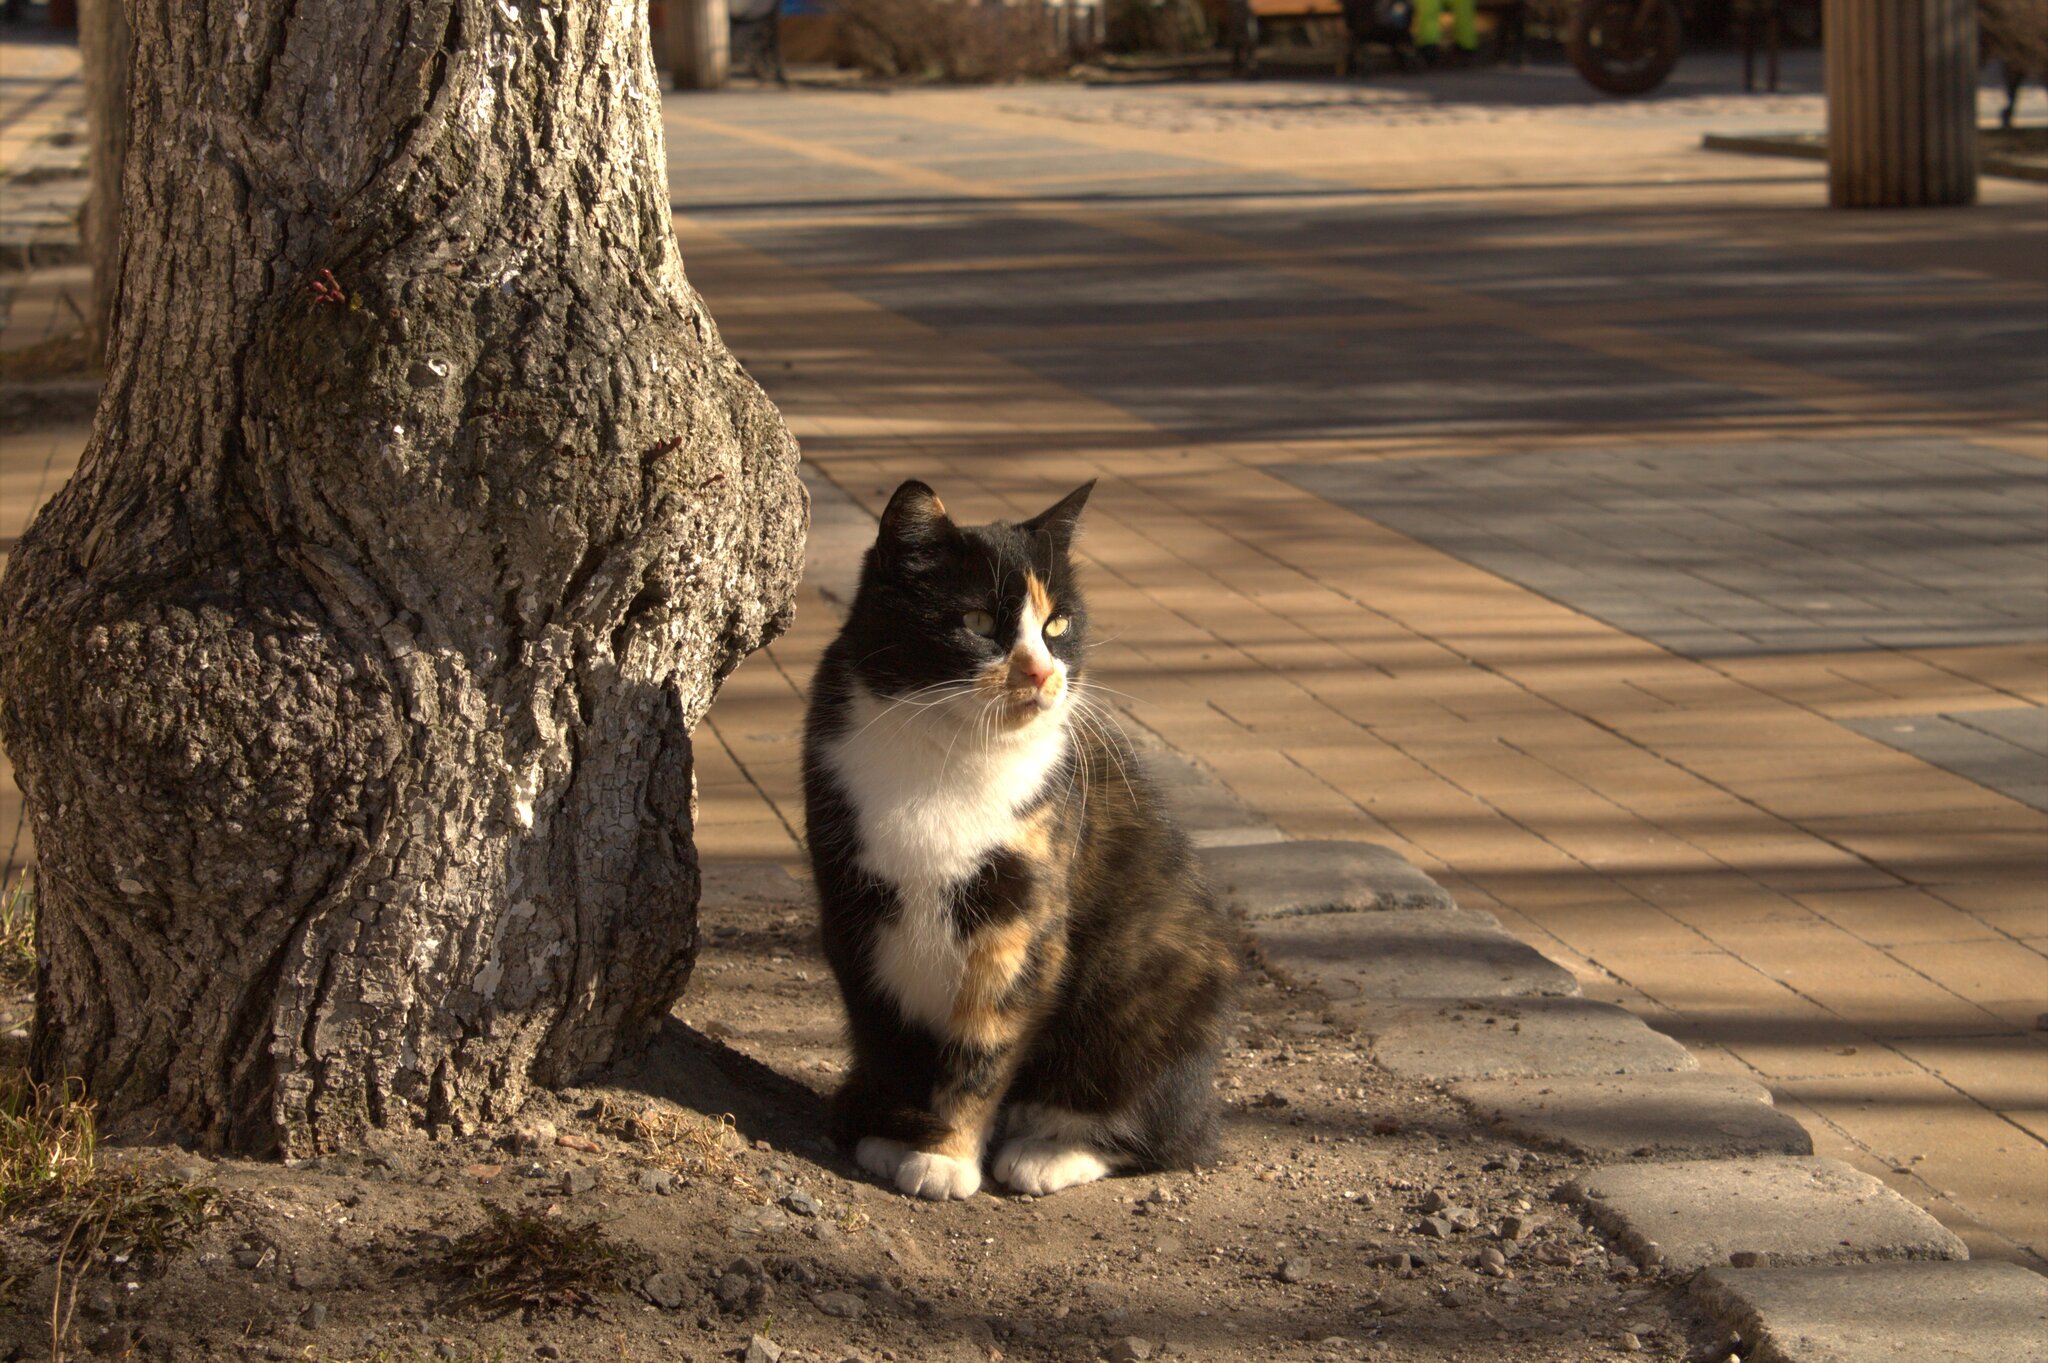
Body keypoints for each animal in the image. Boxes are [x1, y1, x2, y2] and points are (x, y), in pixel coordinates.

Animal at [802, 480, 1236, 1203]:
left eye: (1057, 625)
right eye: (978, 621)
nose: (1039, 672)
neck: (947, 754)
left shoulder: (1022, 919)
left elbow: (985, 1046)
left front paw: (945, 1153)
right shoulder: (854, 905)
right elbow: (884, 1031)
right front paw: (895, 1132)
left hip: (1158, 983)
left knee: (1173, 1132)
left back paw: (1051, 1150)